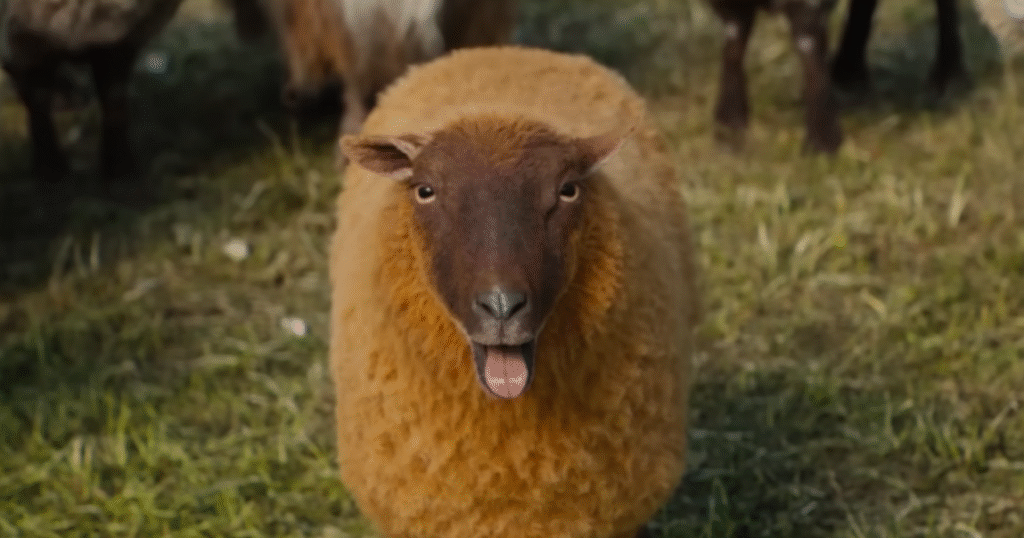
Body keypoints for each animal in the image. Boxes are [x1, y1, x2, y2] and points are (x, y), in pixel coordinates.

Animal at [708, 0, 844, 154]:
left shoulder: (810, 11)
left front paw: (821, 143)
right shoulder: (733, 11)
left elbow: (813, 60)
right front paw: (729, 128)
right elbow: (733, 50)